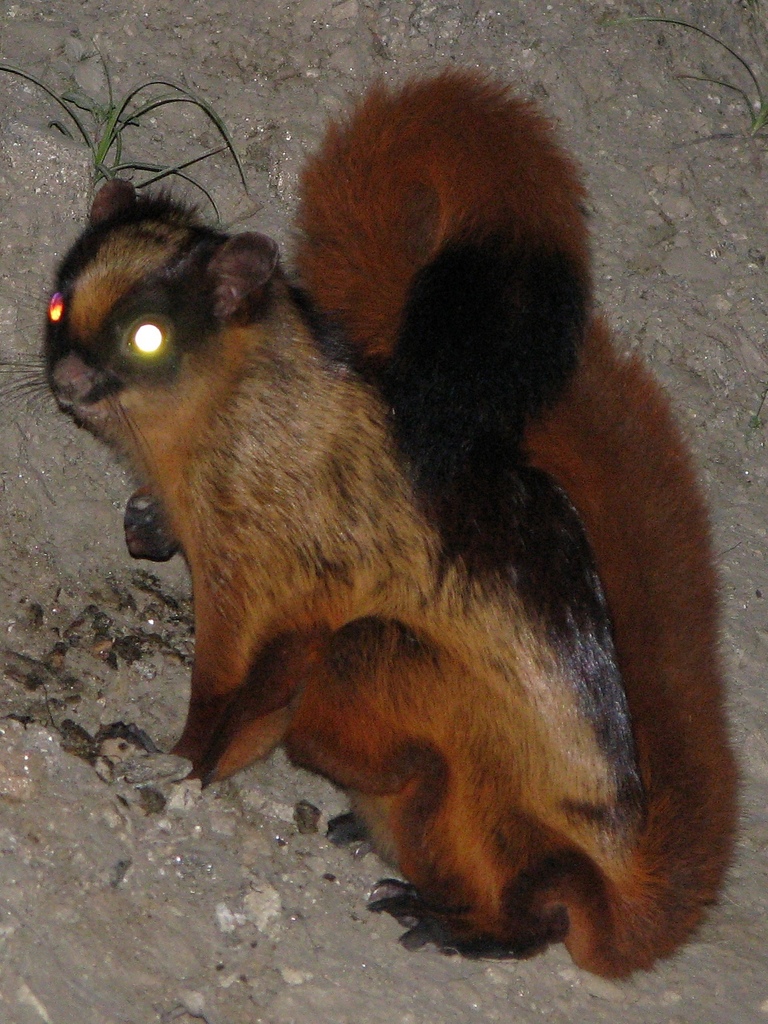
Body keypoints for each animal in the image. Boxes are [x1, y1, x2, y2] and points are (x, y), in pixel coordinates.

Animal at [44, 70, 737, 978]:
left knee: (546, 905)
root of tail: (628, 873)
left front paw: (173, 765)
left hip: (388, 676)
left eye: (148, 336)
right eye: (58, 305)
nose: (64, 378)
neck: (232, 412)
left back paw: (462, 920)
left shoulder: (263, 589)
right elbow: (251, 707)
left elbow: (224, 701)